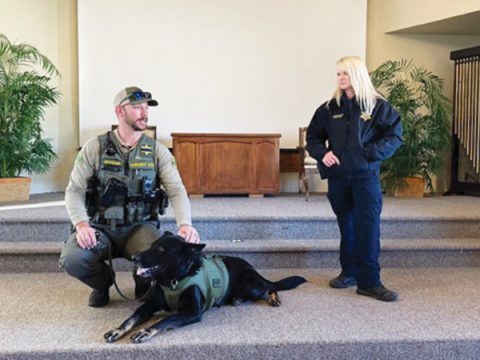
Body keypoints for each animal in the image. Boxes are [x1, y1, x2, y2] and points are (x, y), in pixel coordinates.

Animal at [105, 232, 308, 344]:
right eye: (152, 245)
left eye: (161, 250)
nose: (134, 258)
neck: (174, 279)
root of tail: (250, 266)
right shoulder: (149, 305)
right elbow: (132, 318)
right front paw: (117, 330)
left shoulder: (192, 312)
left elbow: (164, 320)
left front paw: (145, 331)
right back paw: (236, 299)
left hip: (251, 285)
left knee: (269, 286)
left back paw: (273, 298)